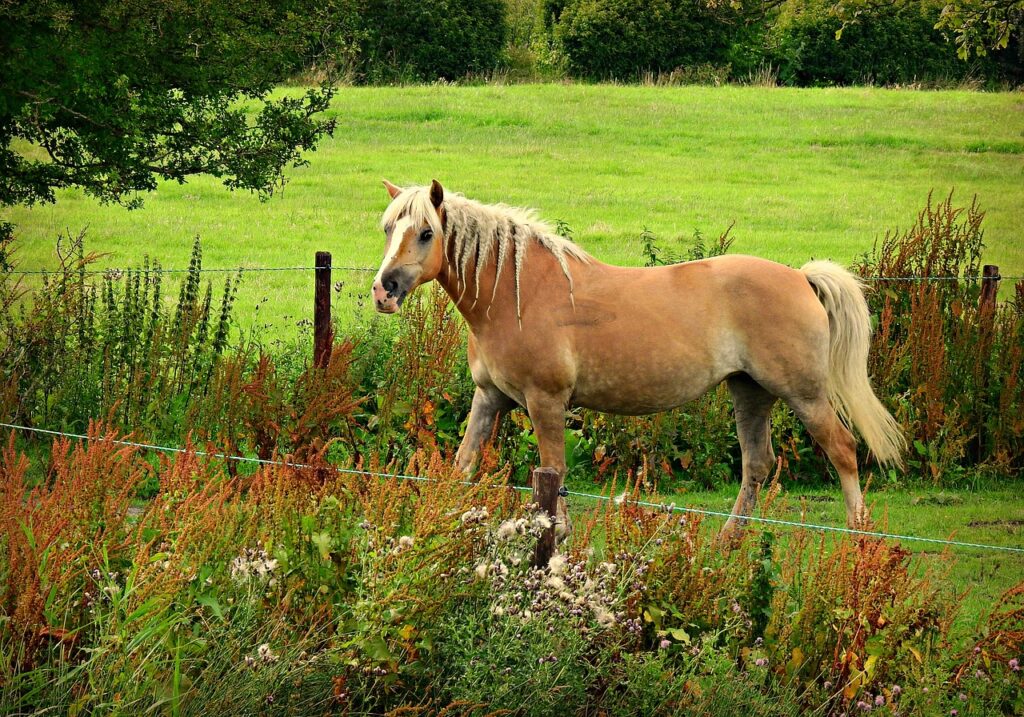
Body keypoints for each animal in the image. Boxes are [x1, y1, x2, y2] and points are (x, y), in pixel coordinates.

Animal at [370, 180, 905, 534]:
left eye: (425, 233)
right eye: (388, 229)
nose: (384, 290)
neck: (516, 293)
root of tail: (800, 277)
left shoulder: (546, 402)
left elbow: (554, 474)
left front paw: (558, 542)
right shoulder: (489, 398)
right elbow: (462, 467)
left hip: (804, 394)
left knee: (843, 450)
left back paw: (856, 537)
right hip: (751, 393)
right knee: (757, 464)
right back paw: (727, 544)